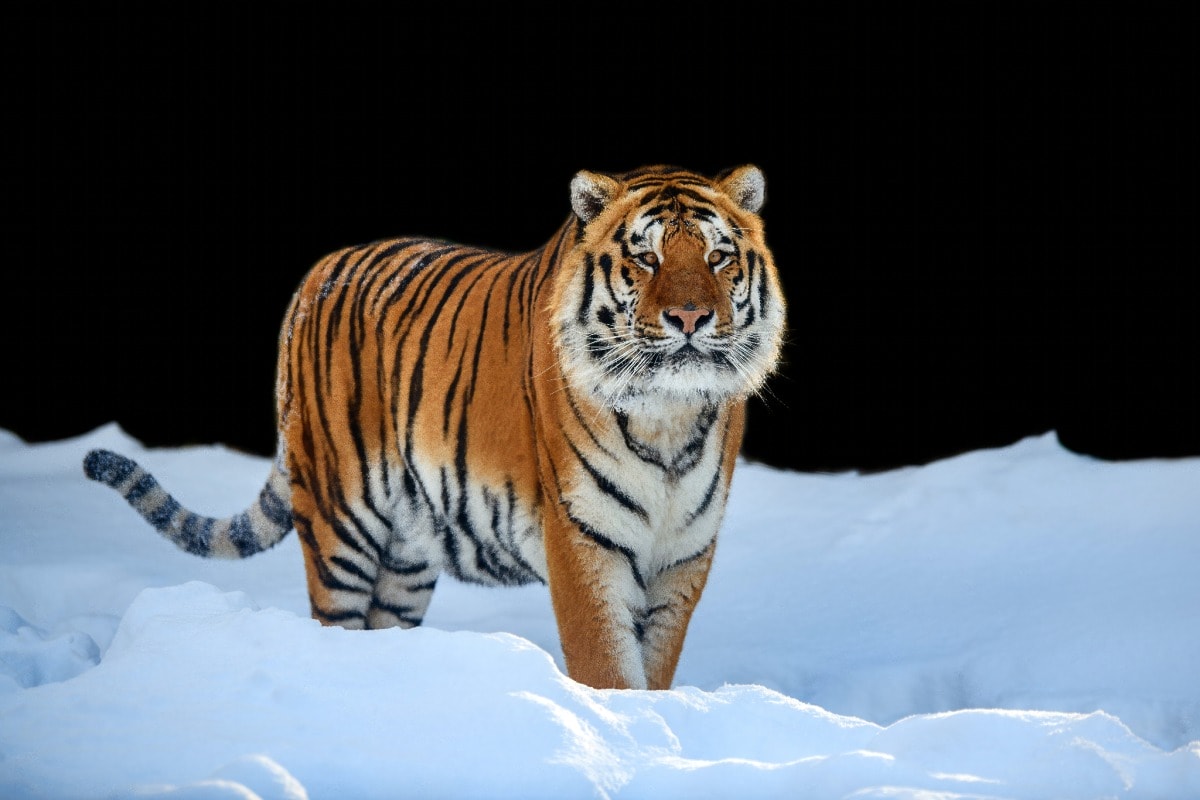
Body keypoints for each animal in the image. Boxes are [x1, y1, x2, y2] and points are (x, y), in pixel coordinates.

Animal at [83, 164, 786, 690]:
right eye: (644, 259)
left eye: (719, 257)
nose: (689, 318)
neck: (670, 415)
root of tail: (316, 275)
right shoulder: (584, 545)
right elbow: (610, 672)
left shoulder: (683, 556)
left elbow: (654, 673)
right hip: (340, 521)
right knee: (333, 622)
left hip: (408, 553)